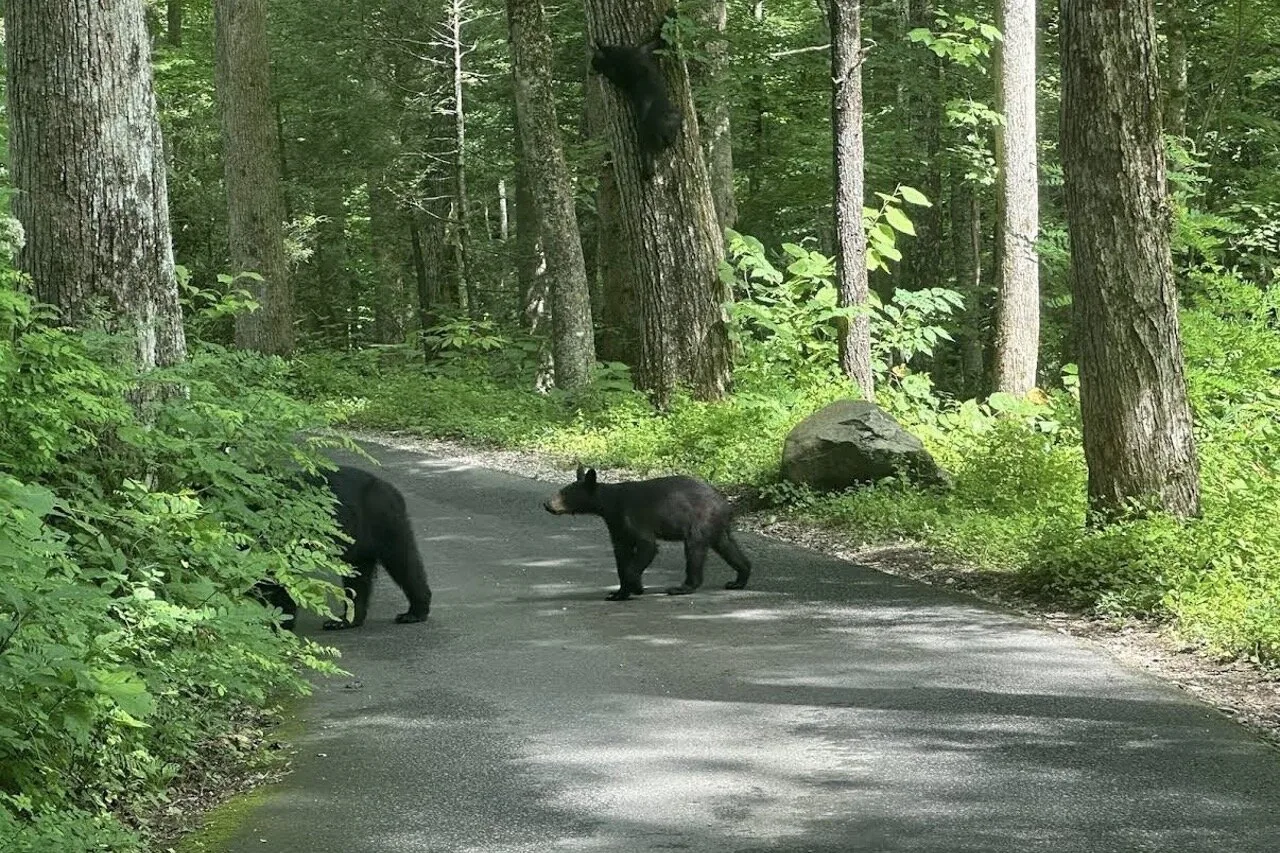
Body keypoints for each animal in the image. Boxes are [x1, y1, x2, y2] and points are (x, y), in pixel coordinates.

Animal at [258, 465, 433, 631]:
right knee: (358, 577)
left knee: (403, 562)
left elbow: (282, 578)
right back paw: (345, 620)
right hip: (360, 542)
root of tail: (392, 489)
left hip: (383, 520)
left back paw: (414, 612)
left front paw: (279, 623)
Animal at [543, 466, 751, 600]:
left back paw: (682, 587)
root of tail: (726, 505)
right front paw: (619, 593)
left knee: (694, 550)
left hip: (700, 520)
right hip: (716, 527)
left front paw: (635, 586)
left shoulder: (632, 516)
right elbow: (621, 554)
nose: (547, 504)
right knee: (727, 547)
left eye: (564, 494)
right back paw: (739, 579)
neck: (610, 504)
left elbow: (646, 546)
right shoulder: (617, 525)